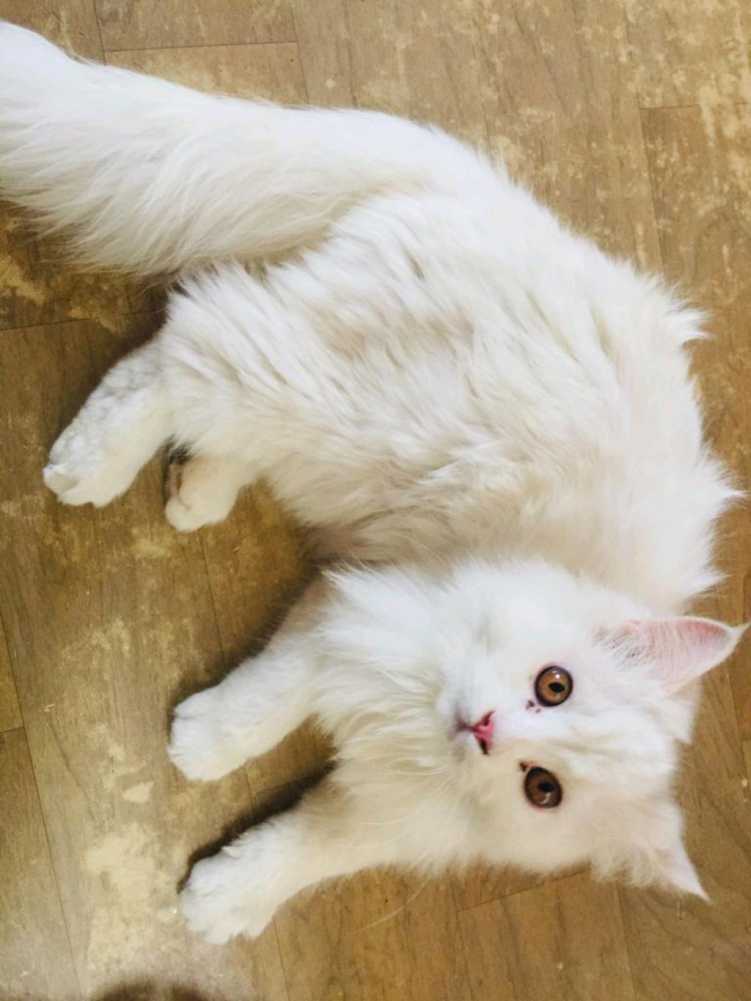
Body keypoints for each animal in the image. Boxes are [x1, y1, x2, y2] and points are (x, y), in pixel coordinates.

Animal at [0, 21, 745, 944]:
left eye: (542, 787)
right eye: (555, 683)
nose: (485, 728)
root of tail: (478, 190)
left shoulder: (394, 811)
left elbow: (305, 849)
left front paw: (221, 900)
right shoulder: (355, 612)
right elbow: (268, 698)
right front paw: (204, 742)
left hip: (337, 421)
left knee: (211, 371)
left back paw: (196, 489)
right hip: (349, 404)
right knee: (190, 339)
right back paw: (92, 464)